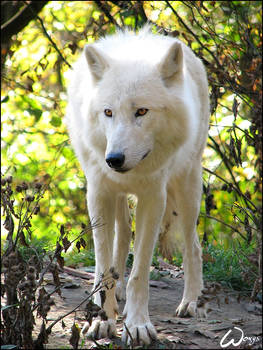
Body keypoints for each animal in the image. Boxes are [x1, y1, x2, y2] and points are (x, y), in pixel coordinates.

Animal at [65, 26, 210, 346]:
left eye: (142, 111)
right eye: (108, 112)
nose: (114, 159)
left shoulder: (153, 197)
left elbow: (140, 272)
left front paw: (138, 325)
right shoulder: (99, 193)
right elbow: (103, 267)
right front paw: (103, 320)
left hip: (187, 187)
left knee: (193, 246)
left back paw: (191, 302)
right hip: (117, 195)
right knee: (121, 234)